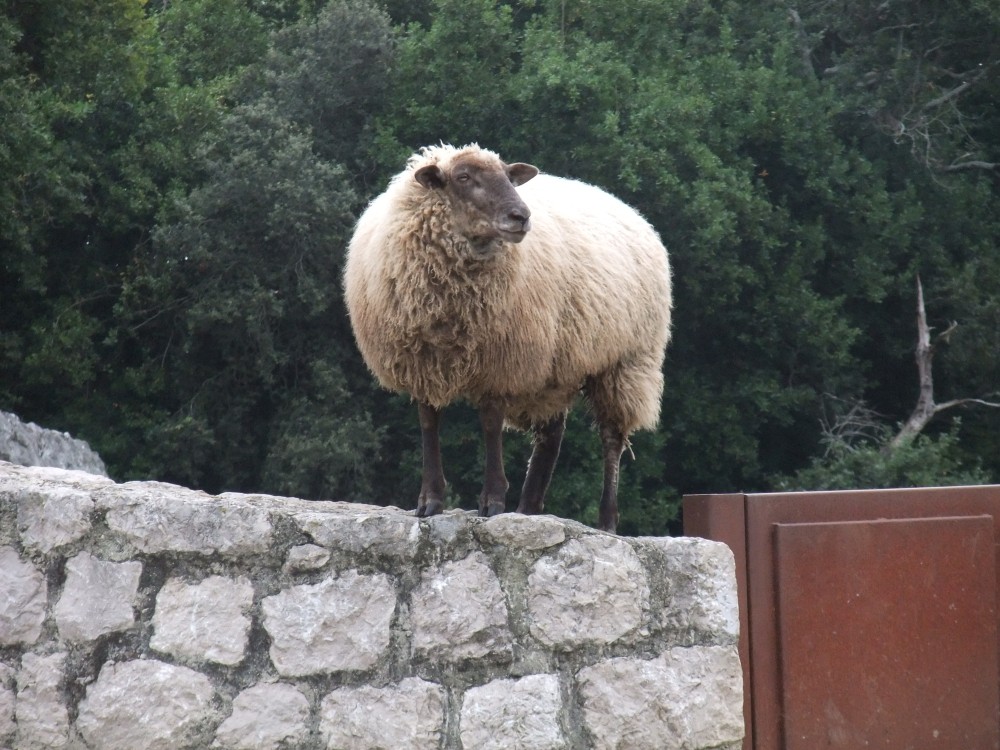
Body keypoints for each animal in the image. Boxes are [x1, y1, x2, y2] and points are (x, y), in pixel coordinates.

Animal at [344, 145, 672, 536]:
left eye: (507, 176)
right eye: (463, 177)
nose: (521, 216)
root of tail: (628, 209)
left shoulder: (500, 360)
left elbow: (490, 424)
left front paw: (493, 501)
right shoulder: (423, 363)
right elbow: (428, 424)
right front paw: (430, 501)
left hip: (626, 362)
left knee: (611, 437)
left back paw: (606, 520)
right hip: (555, 368)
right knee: (551, 436)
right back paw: (529, 508)